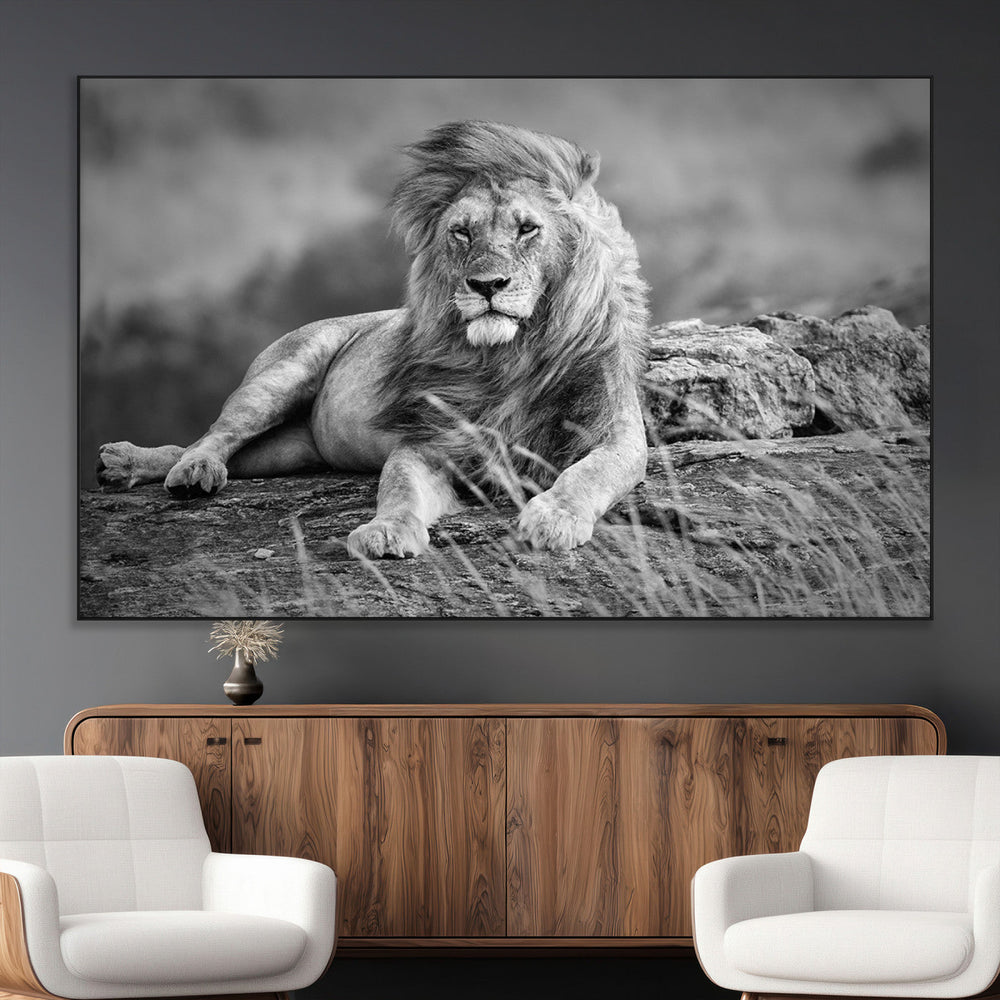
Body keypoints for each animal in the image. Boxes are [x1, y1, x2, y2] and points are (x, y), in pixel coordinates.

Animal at [96, 121, 650, 558]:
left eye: (528, 229)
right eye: (462, 233)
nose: (487, 285)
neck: (509, 356)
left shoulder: (617, 433)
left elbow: (590, 472)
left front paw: (554, 517)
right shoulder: (427, 441)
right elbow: (398, 488)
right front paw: (385, 532)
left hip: (288, 451)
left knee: (224, 450)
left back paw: (126, 465)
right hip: (281, 375)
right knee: (214, 435)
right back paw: (180, 469)